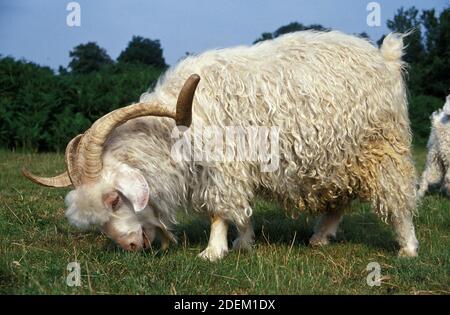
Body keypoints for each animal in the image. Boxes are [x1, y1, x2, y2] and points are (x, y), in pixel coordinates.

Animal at [23, 30, 418, 262]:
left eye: (114, 199)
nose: (132, 247)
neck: (174, 127)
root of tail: (386, 58)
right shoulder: (233, 169)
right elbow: (241, 209)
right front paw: (244, 242)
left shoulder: (223, 165)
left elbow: (219, 210)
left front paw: (213, 251)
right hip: (336, 158)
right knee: (339, 199)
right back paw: (321, 237)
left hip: (382, 147)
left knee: (397, 198)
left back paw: (408, 248)